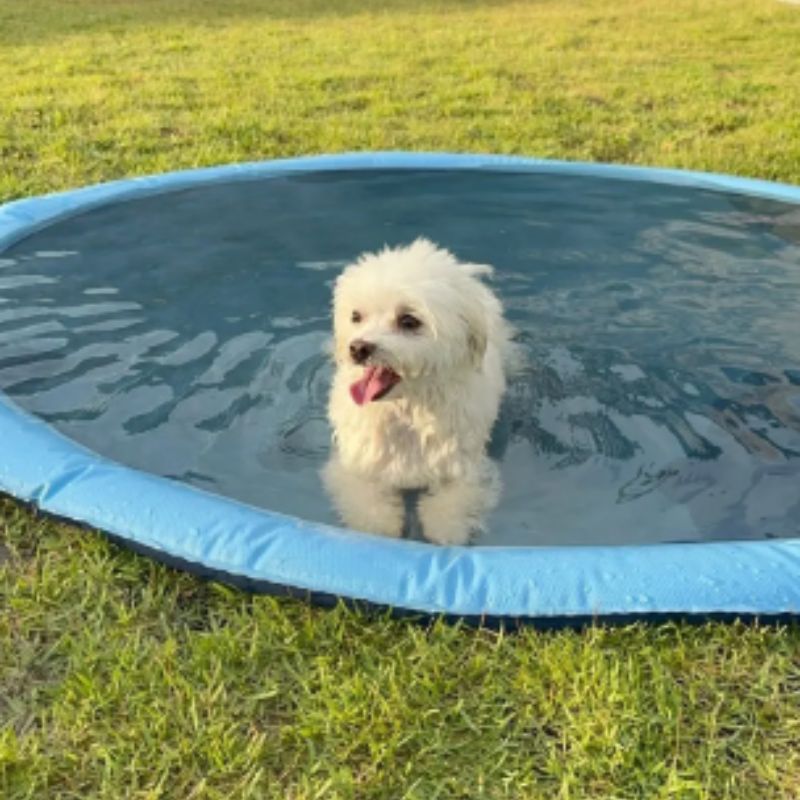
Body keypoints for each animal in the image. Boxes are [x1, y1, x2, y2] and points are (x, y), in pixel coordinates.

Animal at [322, 238, 510, 544]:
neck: (407, 409)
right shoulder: (358, 465)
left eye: (408, 321)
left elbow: (453, 503)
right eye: (356, 316)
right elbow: (368, 502)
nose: (358, 348)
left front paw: (445, 530)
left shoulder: (462, 466)